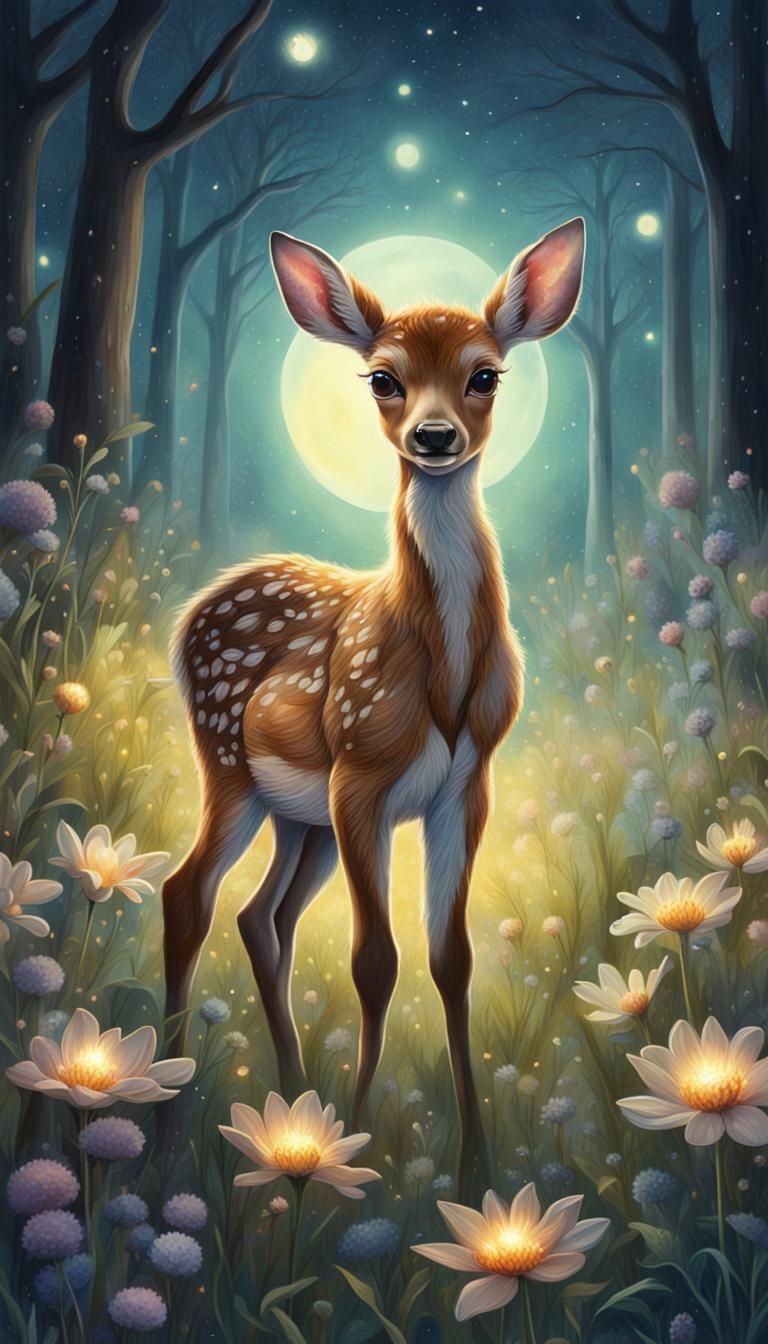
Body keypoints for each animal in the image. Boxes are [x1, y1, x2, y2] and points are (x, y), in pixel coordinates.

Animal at [163, 218, 585, 1190]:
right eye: (383, 376)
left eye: (485, 373)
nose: (433, 436)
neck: (444, 674)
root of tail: (196, 610)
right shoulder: (362, 778)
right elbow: (374, 962)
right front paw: (356, 1152)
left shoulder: (466, 786)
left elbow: (451, 960)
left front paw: (475, 1164)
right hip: (230, 766)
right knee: (187, 892)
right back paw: (163, 1102)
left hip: (299, 818)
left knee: (261, 918)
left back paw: (289, 1093)